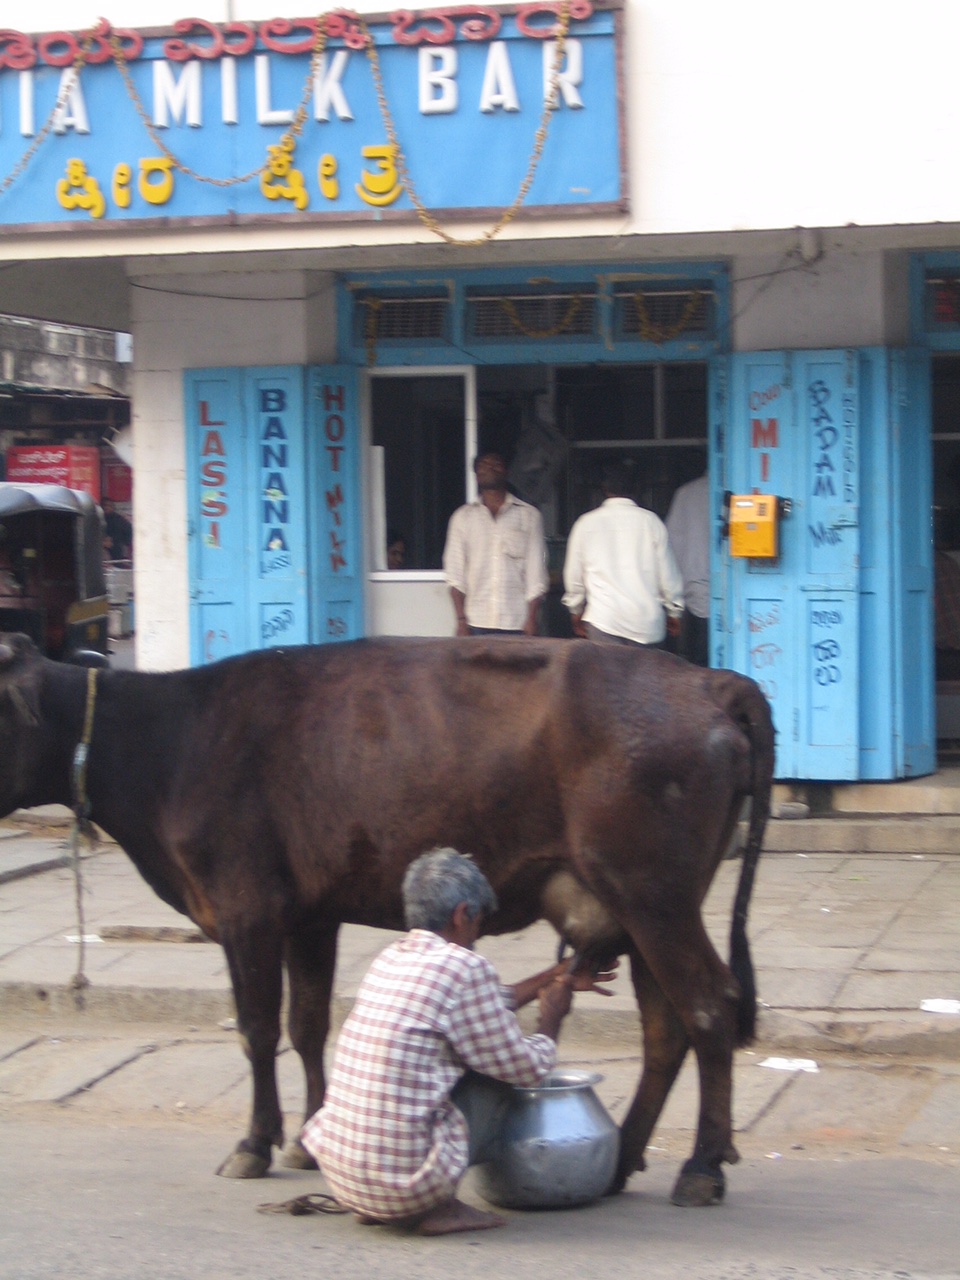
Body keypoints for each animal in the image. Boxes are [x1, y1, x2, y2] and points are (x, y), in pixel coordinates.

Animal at [0, 631, 774, 1208]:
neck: (170, 742)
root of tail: (704, 680)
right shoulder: (307, 915)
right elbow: (307, 1025)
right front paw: (306, 1139)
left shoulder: (248, 909)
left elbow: (257, 1029)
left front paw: (253, 1145)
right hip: (642, 907)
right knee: (665, 1027)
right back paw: (625, 1162)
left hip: (652, 893)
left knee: (708, 1005)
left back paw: (702, 1168)